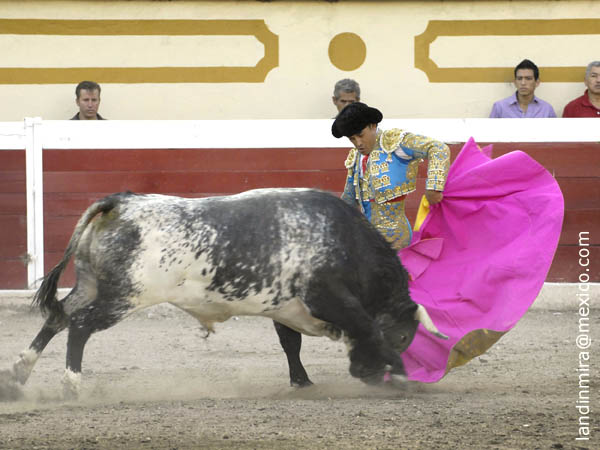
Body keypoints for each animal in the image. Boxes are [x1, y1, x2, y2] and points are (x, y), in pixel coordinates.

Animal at [2, 188, 446, 400]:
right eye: (403, 336)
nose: (365, 374)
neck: (345, 242)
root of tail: (120, 204)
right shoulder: (330, 298)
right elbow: (368, 328)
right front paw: (402, 378)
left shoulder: (285, 308)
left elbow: (291, 343)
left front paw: (302, 383)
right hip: (124, 297)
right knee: (79, 325)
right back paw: (71, 386)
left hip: (91, 284)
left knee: (58, 316)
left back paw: (19, 375)